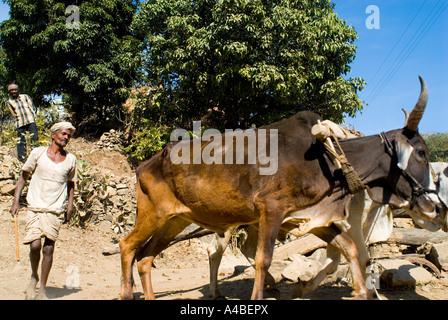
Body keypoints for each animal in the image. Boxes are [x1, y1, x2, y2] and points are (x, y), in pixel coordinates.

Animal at [119, 77, 444, 300]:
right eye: (421, 153)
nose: (437, 208)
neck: (327, 158)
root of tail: (146, 163)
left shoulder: (313, 219)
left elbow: (351, 250)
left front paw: (360, 291)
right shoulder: (271, 210)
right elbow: (264, 260)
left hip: (175, 220)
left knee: (145, 257)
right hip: (153, 215)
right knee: (127, 246)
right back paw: (126, 292)